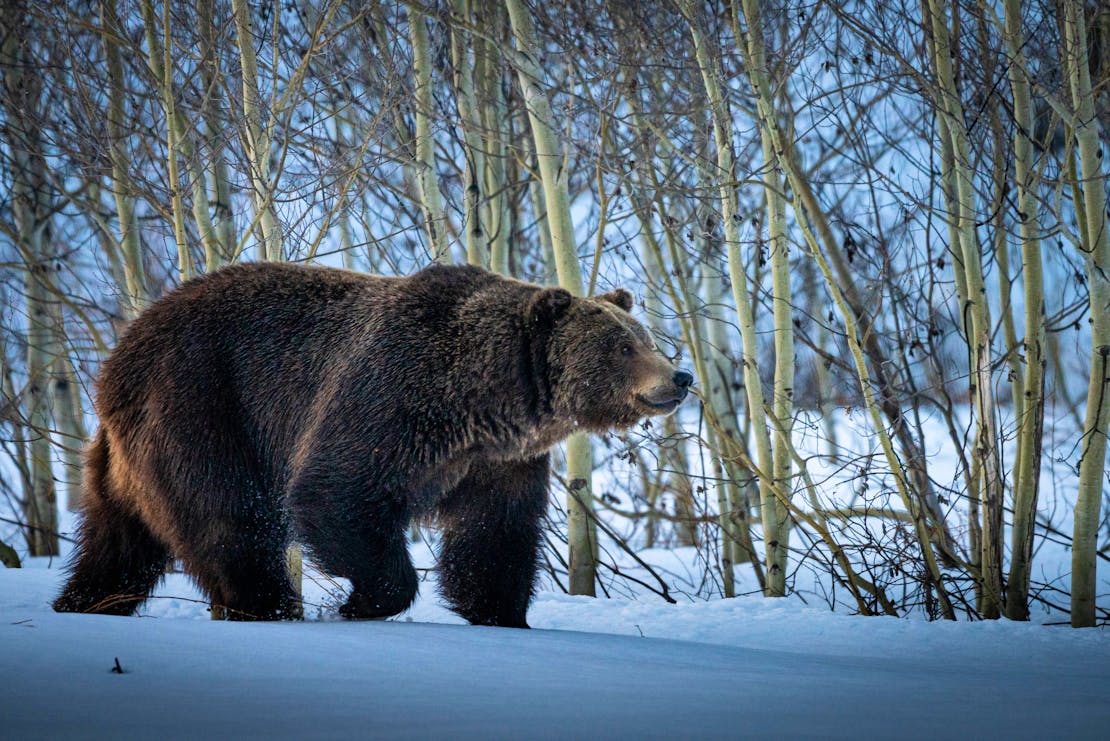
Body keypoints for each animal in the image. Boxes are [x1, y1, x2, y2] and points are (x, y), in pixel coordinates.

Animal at [53, 262, 692, 627]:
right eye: (621, 346)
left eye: (645, 338)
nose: (679, 377)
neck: (486, 399)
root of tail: (116, 357)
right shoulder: (392, 399)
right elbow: (336, 491)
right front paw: (360, 602)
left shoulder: (497, 461)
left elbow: (496, 533)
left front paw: (503, 614)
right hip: (201, 405)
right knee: (228, 518)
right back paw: (269, 605)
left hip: (126, 456)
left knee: (118, 541)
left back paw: (84, 603)